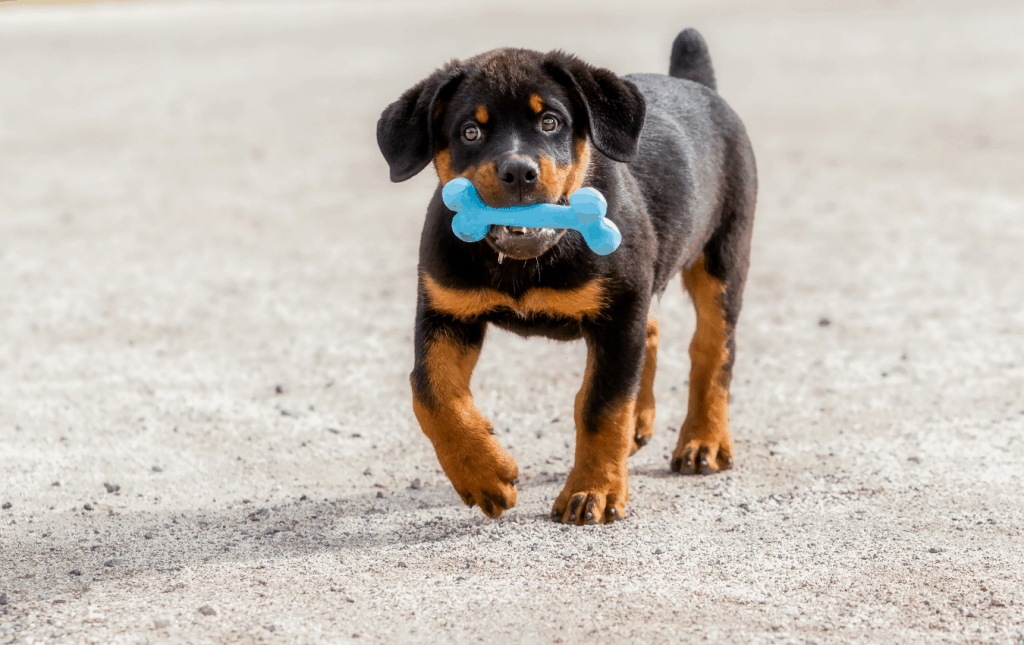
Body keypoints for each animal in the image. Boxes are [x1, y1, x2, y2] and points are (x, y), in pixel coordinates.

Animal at [376, 27, 753, 528]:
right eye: (470, 132)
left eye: (550, 122)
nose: (518, 171)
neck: (525, 260)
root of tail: (698, 85)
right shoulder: (447, 311)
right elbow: (430, 393)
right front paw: (483, 474)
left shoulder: (618, 314)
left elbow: (601, 406)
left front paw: (594, 490)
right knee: (653, 331)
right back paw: (642, 421)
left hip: (722, 260)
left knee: (712, 350)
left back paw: (704, 440)